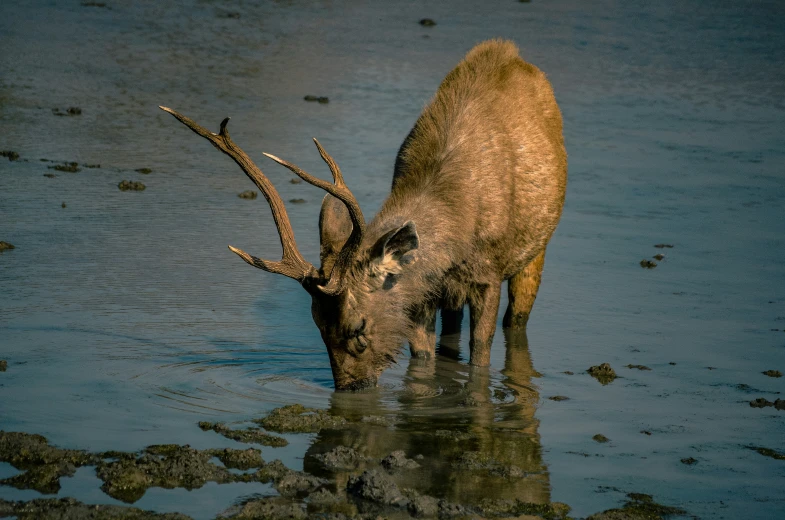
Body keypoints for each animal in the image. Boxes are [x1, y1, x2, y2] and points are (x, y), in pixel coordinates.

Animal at [161, 39, 564, 390]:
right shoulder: (422, 290)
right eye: (317, 325)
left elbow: (480, 357)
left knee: (517, 320)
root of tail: (511, 52)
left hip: (536, 250)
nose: (349, 388)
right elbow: (423, 358)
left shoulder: (487, 274)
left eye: (357, 328)